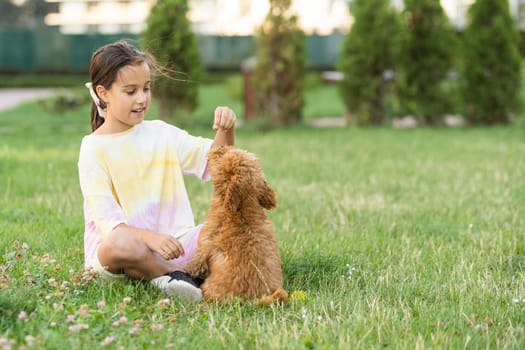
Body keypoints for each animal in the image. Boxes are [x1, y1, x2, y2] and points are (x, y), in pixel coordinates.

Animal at [184, 145, 286, 304]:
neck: (241, 211)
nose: (221, 146)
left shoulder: (204, 244)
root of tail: (249, 299)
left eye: (221, 155)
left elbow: (195, 263)